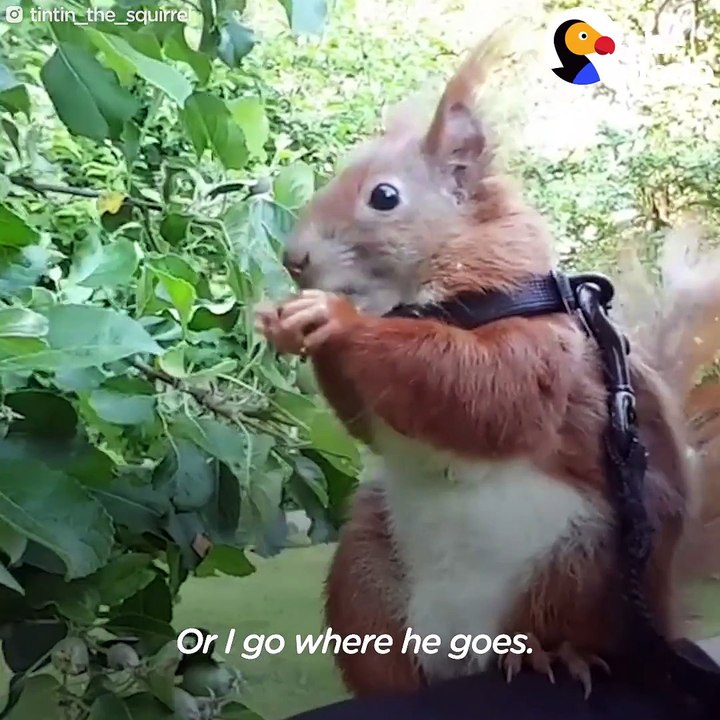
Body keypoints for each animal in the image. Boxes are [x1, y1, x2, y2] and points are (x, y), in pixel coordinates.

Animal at [256, 33, 720, 703]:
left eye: (385, 196)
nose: (294, 259)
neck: (425, 297)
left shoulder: (536, 350)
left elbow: (485, 390)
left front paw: (338, 319)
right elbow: (375, 419)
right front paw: (286, 320)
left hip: (580, 566)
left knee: (555, 625)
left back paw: (548, 655)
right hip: (365, 574)